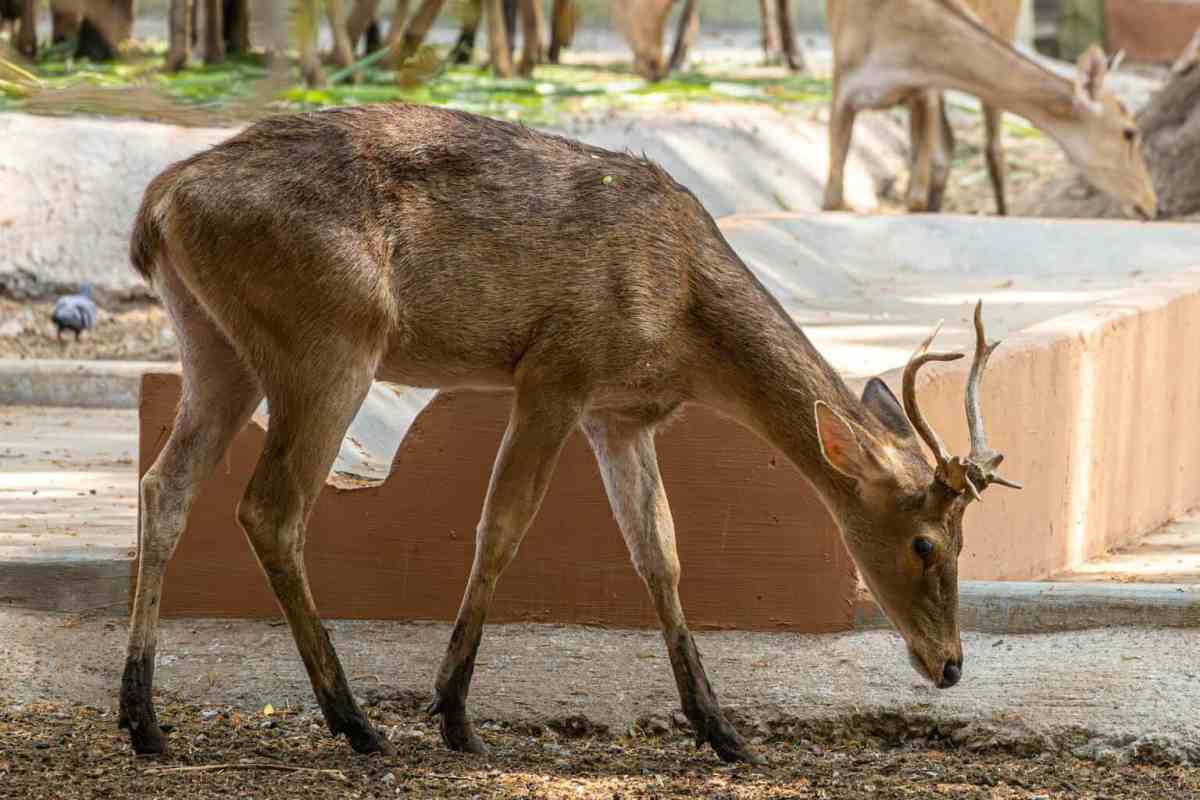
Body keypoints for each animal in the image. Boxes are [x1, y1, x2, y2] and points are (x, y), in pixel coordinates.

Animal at [120, 102, 1020, 763]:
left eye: (969, 541)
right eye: (926, 543)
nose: (950, 665)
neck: (681, 323)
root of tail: (156, 206)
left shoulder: (620, 414)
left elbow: (659, 551)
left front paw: (721, 729)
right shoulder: (558, 370)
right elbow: (502, 527)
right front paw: (454, 715)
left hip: (214, 343)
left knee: (164, 485)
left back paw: (144, 718)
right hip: (331, 340)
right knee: (271, 508)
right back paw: (355, 721)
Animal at [824, 0, 1157, 219]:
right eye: (1130, 132)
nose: (1151, 203)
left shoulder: (924, 93)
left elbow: (916, 197)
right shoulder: (842, 90)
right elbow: (831, 199)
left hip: (1004, 29)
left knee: (989, 149)